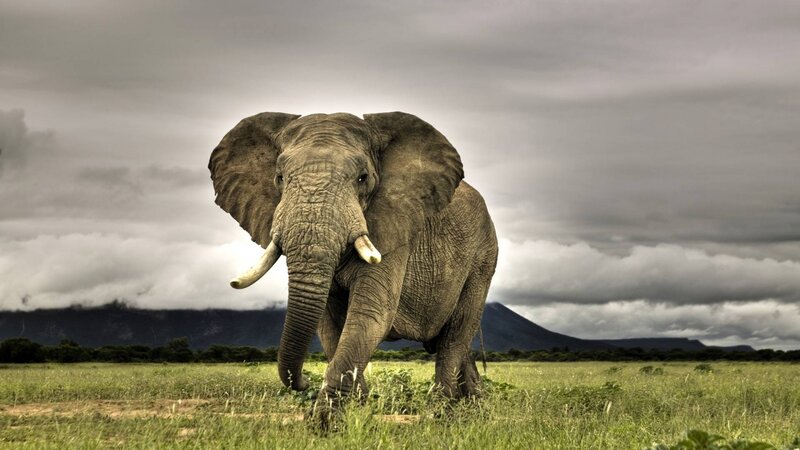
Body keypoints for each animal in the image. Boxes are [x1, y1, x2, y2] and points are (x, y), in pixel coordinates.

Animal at [209, 111, 498, 421]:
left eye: (363, 178)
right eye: (279, 178)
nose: (303, 381)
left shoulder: (394, 228)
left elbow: (370, 314)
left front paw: (325, 422)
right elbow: (329, 324)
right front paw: (357, 409)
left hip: (483, 257)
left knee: (455, 336)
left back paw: (442, 412)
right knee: (457, 343)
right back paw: (475, 406)